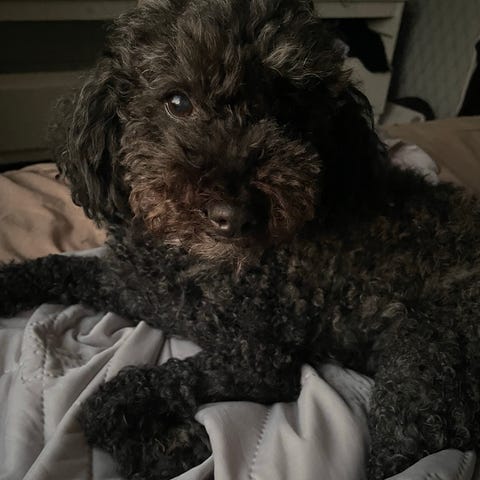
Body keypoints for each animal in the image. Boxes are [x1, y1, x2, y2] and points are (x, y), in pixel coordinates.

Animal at [1, 0, 479, 479]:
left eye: (288, 109)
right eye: (178, 102)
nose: (235, 216)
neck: (189, 259)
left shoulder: (260, 359)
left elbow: (117, 396)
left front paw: (170, 446)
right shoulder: (132, 286)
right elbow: (62, 266)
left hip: (422, 360)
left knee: (413, 451)